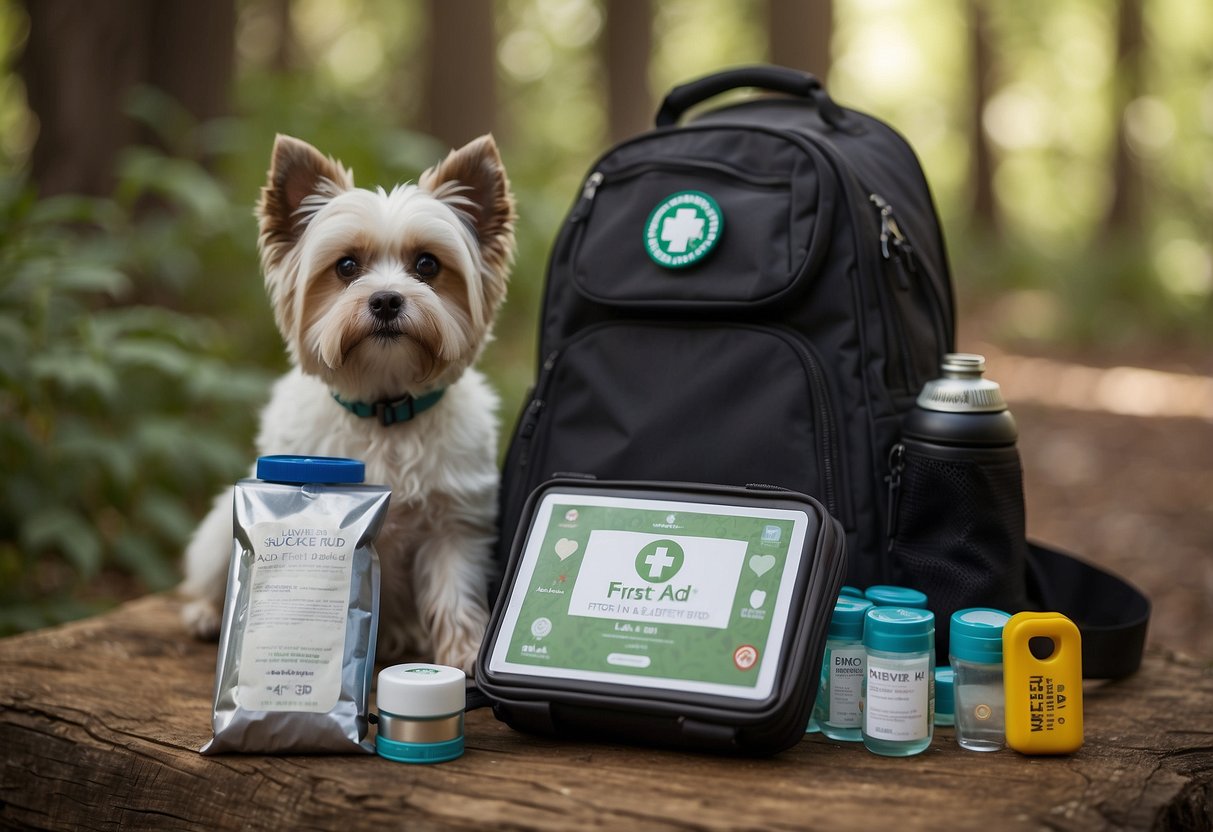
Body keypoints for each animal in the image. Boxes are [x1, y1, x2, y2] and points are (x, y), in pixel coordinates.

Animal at [178, 133, 511, 674]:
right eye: (347, 266)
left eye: (427, 264)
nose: (386, 300)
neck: (384, 410)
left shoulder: (455, 527)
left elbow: (455, 593)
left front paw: (463, 654)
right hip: (214, 536)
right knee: (206, 577)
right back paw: (206, 614)